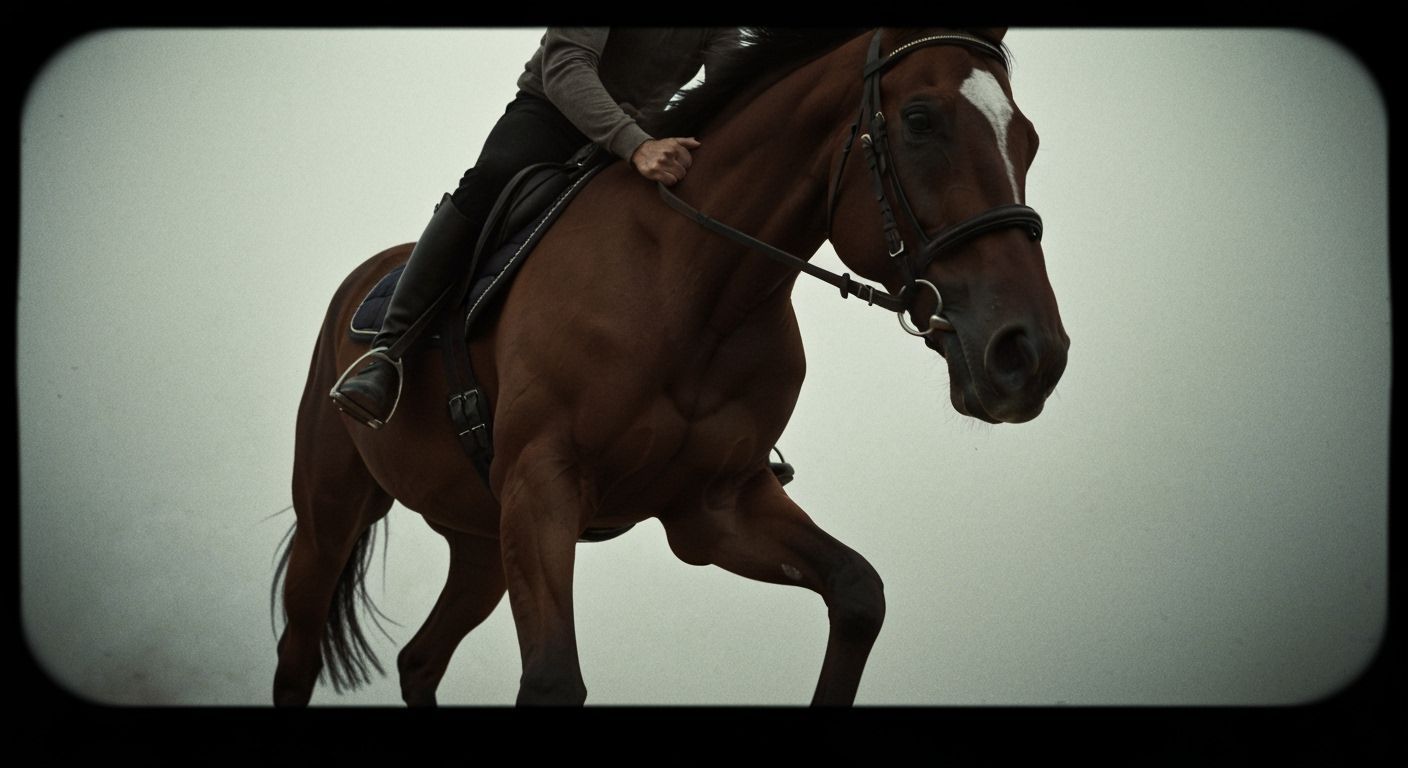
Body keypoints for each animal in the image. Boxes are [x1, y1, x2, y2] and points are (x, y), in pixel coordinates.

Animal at [272, 27, 1069, 706]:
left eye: (1028, 138)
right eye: (921, 121)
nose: (1031, 354)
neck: (691, 286)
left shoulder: (714, 507)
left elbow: (858, 592)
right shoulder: (541, 486)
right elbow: (554, 682)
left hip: (478, 540)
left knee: (420, 659)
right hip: (332, 512)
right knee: (298, 654)